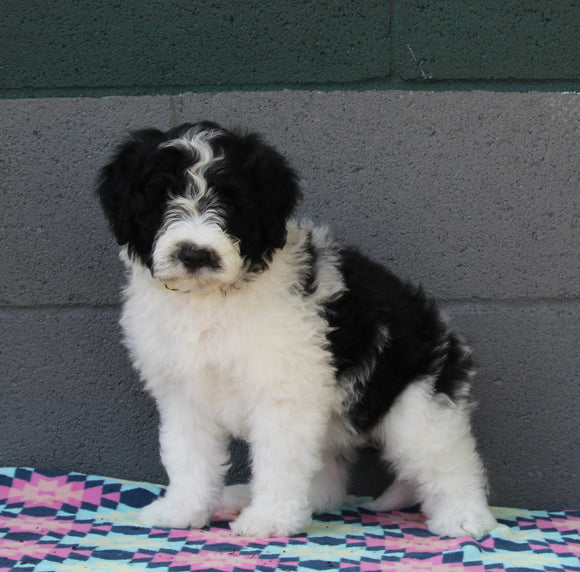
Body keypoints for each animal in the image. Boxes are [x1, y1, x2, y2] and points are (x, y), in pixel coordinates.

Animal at [97, 120, 496, 536]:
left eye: (232, 202)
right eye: (162, 199)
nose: (194, 254)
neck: (211, 298)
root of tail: (445, 333)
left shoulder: (283, 390)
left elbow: (278, 460)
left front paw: (269, 519)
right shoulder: (184, 393)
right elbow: (188, 455)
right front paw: (182, 510)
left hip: (416, 406)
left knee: (447, 458)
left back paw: (465, 516)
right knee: (327, 484)